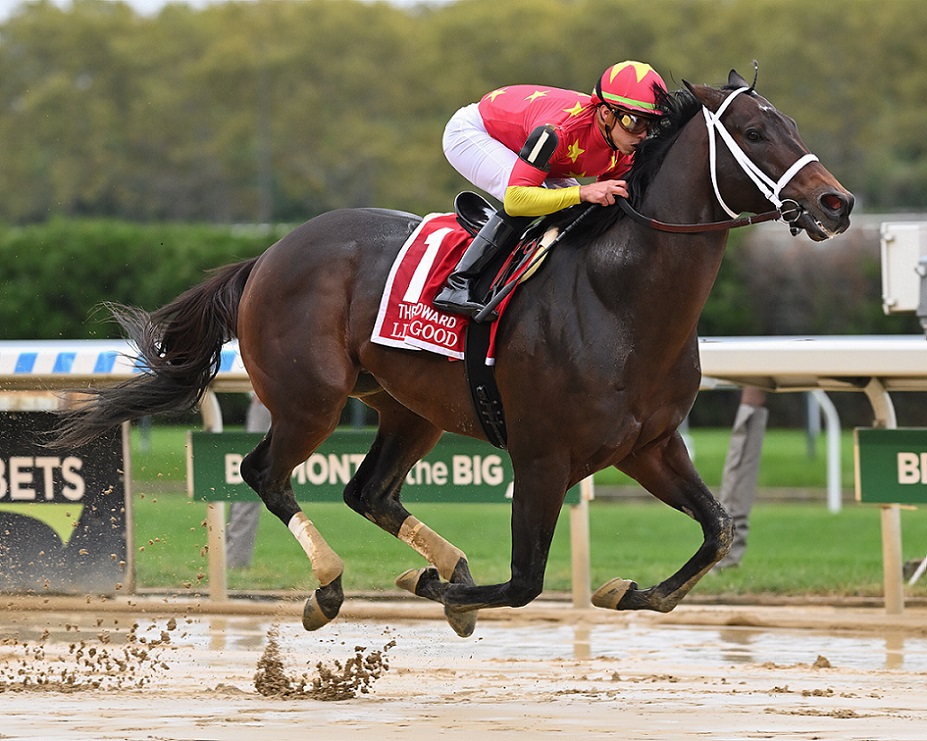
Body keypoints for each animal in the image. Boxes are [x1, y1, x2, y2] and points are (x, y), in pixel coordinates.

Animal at [55, 69, 853, 637]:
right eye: (753, 130)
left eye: (789, 123)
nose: (836, 203)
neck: (617, 298)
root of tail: (269, 255)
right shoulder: (542, 455)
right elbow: (526, 580)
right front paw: (440, 590)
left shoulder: (648, 445)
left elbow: (716, 530)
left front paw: (628, 589)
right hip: (311, 400)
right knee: (265, 473)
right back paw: (332, 585)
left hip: (410, 408)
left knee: (367, 491)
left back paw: (437, 564)